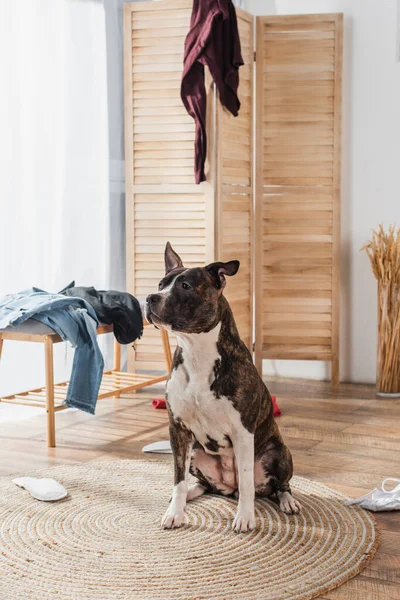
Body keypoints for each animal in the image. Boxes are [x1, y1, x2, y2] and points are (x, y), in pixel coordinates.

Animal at [146, 241, 300, 532]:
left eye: (185, 286)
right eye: (161, 284)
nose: (150, 298)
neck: (197, 352)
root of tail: (229, 488)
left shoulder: (242, 432)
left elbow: (248, 482)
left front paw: (245, 518)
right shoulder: (178, 430)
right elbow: (178, 479)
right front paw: (175, 512)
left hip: (278, 452)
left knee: (278, 486)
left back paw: (288, 502)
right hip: (196, 451)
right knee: (203, 484)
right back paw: (191, 493)